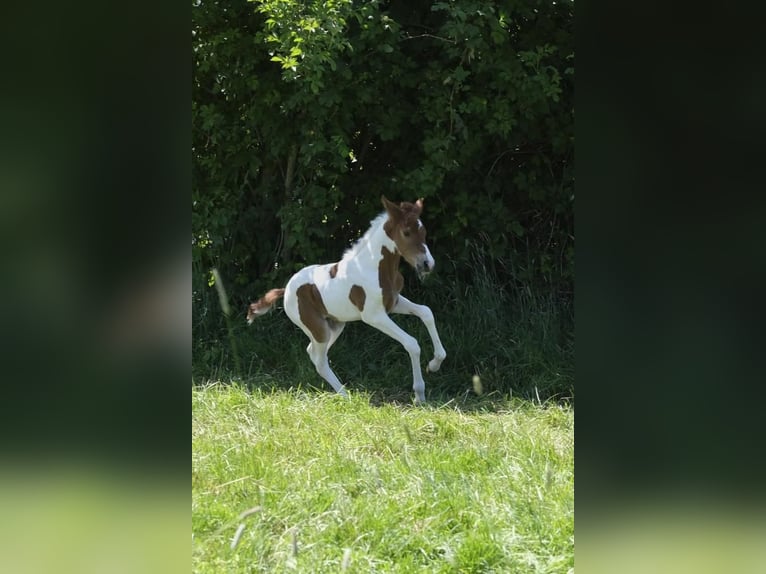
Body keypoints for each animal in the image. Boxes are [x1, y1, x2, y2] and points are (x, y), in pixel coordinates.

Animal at [249, 198, 448, 404]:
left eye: (423, 232)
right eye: (406, 232)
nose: (427, 264)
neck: (374, 267)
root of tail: (286, 289)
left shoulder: (394, 303)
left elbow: (426, 312)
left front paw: (434, 364)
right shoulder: (374, 316)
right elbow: (412, 343)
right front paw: (419, 394)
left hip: (334, 325)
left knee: (313, 352)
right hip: (318, 328)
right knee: (320, 361)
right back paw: (346, 396)